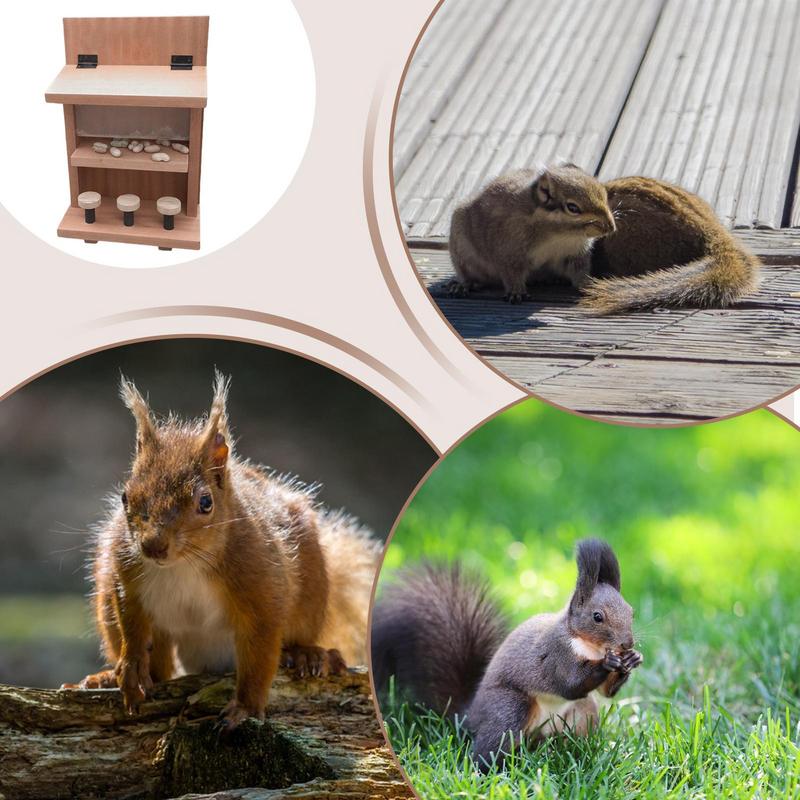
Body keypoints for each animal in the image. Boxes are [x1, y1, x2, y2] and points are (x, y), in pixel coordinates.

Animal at [62, 373, 381, 732]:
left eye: (205, 502)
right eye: (125, 497)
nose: (153, 546)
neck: (184, 564)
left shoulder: (260, 579)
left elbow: (261, 649)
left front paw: (245, 706)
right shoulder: (125, 570)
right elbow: (131, 620)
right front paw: (130, 668)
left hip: (311, 586)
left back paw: (308, 654)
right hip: (108, 594)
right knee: (157, 668)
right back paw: (104, 678)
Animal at [371, 539, 643, 768]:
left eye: (631, 611)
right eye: (597, 617)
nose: (627, 643)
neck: (589, 645)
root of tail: (470, 714)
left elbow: (606, 692)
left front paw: (631, 660)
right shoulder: (556, 653)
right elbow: (569, 683)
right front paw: (606, 663)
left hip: (582, 712)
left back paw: (574, 751)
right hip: (510, 708)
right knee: (491, 745)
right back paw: (488, 770)